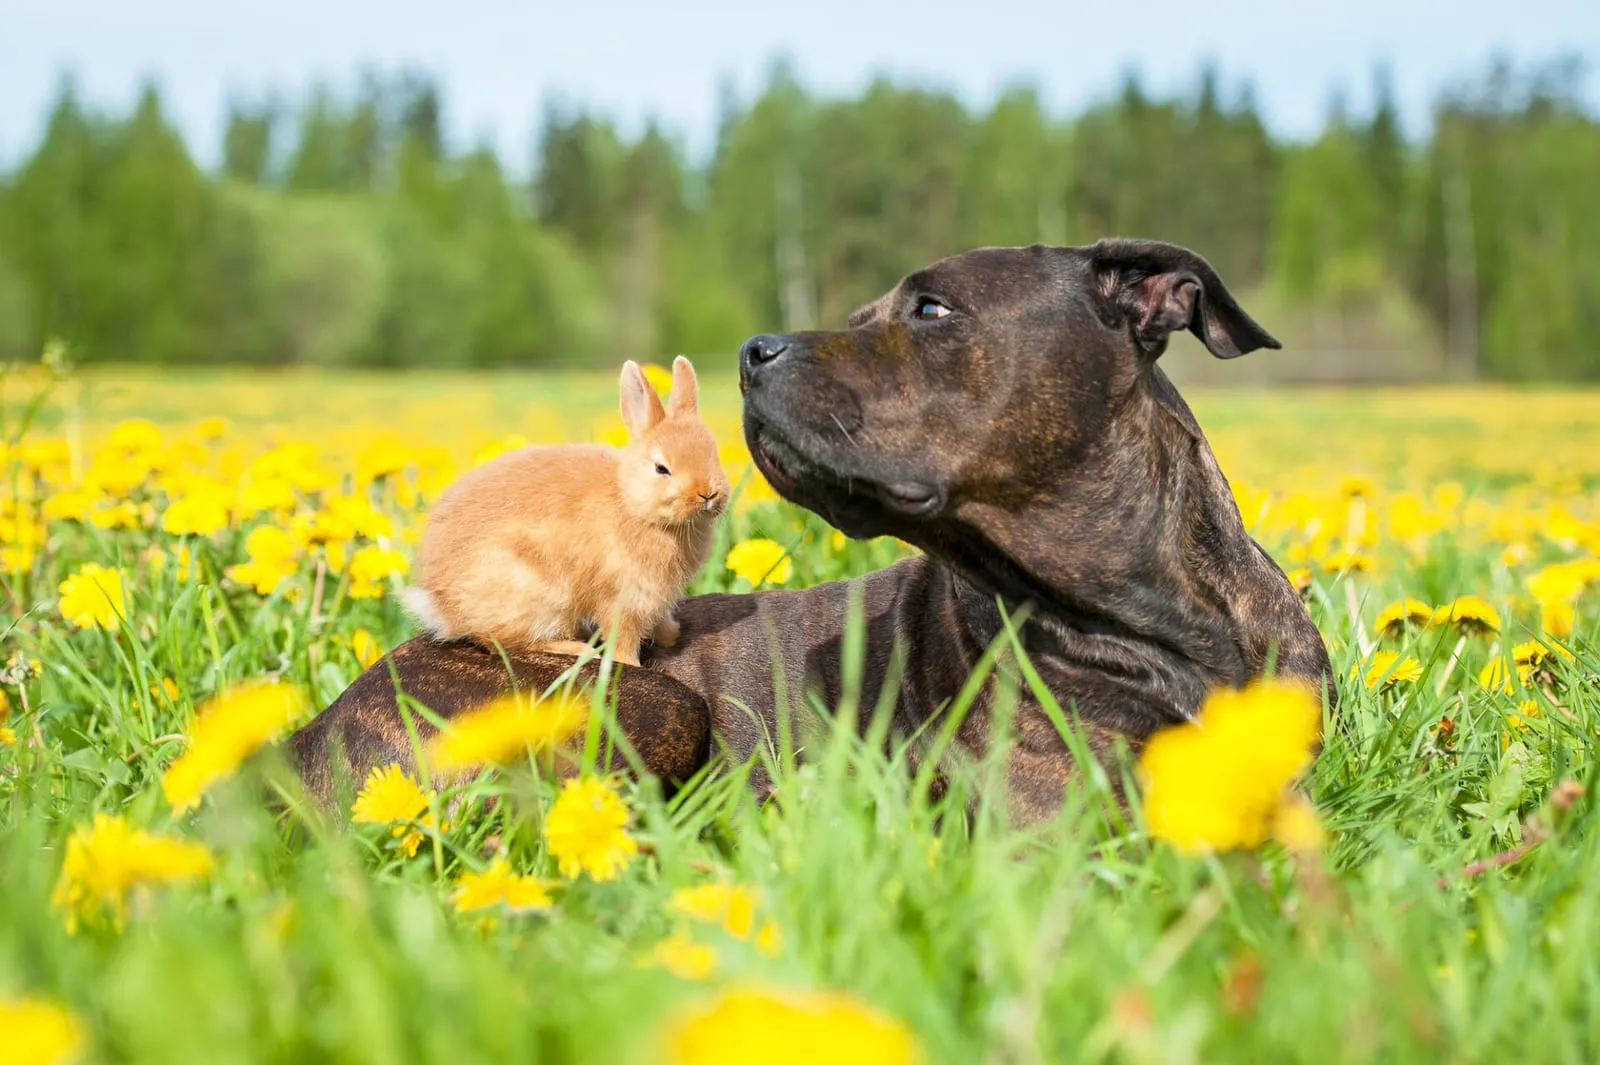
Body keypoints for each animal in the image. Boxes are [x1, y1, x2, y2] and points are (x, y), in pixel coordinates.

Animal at [403, 356, 730, 666]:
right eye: (661, 468)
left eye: (713, 454)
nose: (708, 493)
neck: (631, 505)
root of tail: (441, 606)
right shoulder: (623, 600)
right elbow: (622, 639)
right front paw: (629, 664)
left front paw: (670, 636)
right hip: (539, 600)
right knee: (499, 640)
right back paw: (578, 649)